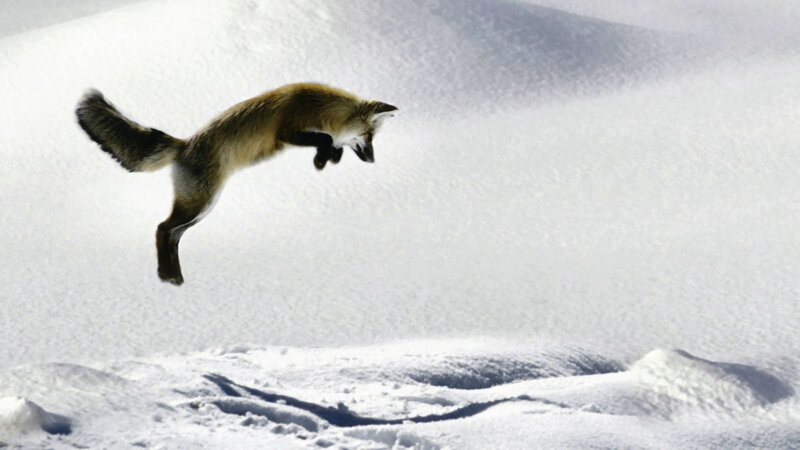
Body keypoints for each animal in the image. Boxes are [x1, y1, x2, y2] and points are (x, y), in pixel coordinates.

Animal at [76, 83, 397, 286]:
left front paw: (327, 159)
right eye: (368, 136)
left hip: (203, 207)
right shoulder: (286, 131)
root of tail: (184, 145)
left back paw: (173, 277)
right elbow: (327, 139)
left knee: (173, 235)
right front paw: (323, 158)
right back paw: (168, 276)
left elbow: (332, 144)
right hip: (200, 203)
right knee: (162, 228)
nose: (372, 160)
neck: (320, 107)